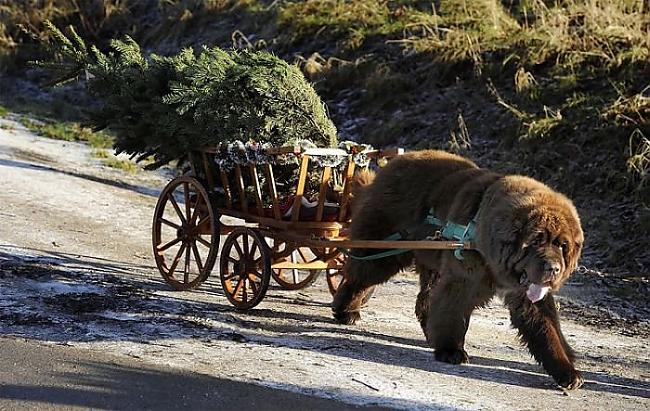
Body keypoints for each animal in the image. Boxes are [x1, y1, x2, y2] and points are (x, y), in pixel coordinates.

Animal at [334, 150, 584, 392]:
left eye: (562, 246)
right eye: (536, 241)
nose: (553, 268)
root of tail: (393, 162)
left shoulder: (525, 292)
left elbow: (547, 329)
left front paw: (566, 371)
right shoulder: (463, 278)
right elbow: (453, 310)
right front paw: (451, 350)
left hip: (431, 260)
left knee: (425, 298)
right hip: (385, 247)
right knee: (359, 276)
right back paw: (346, 311)